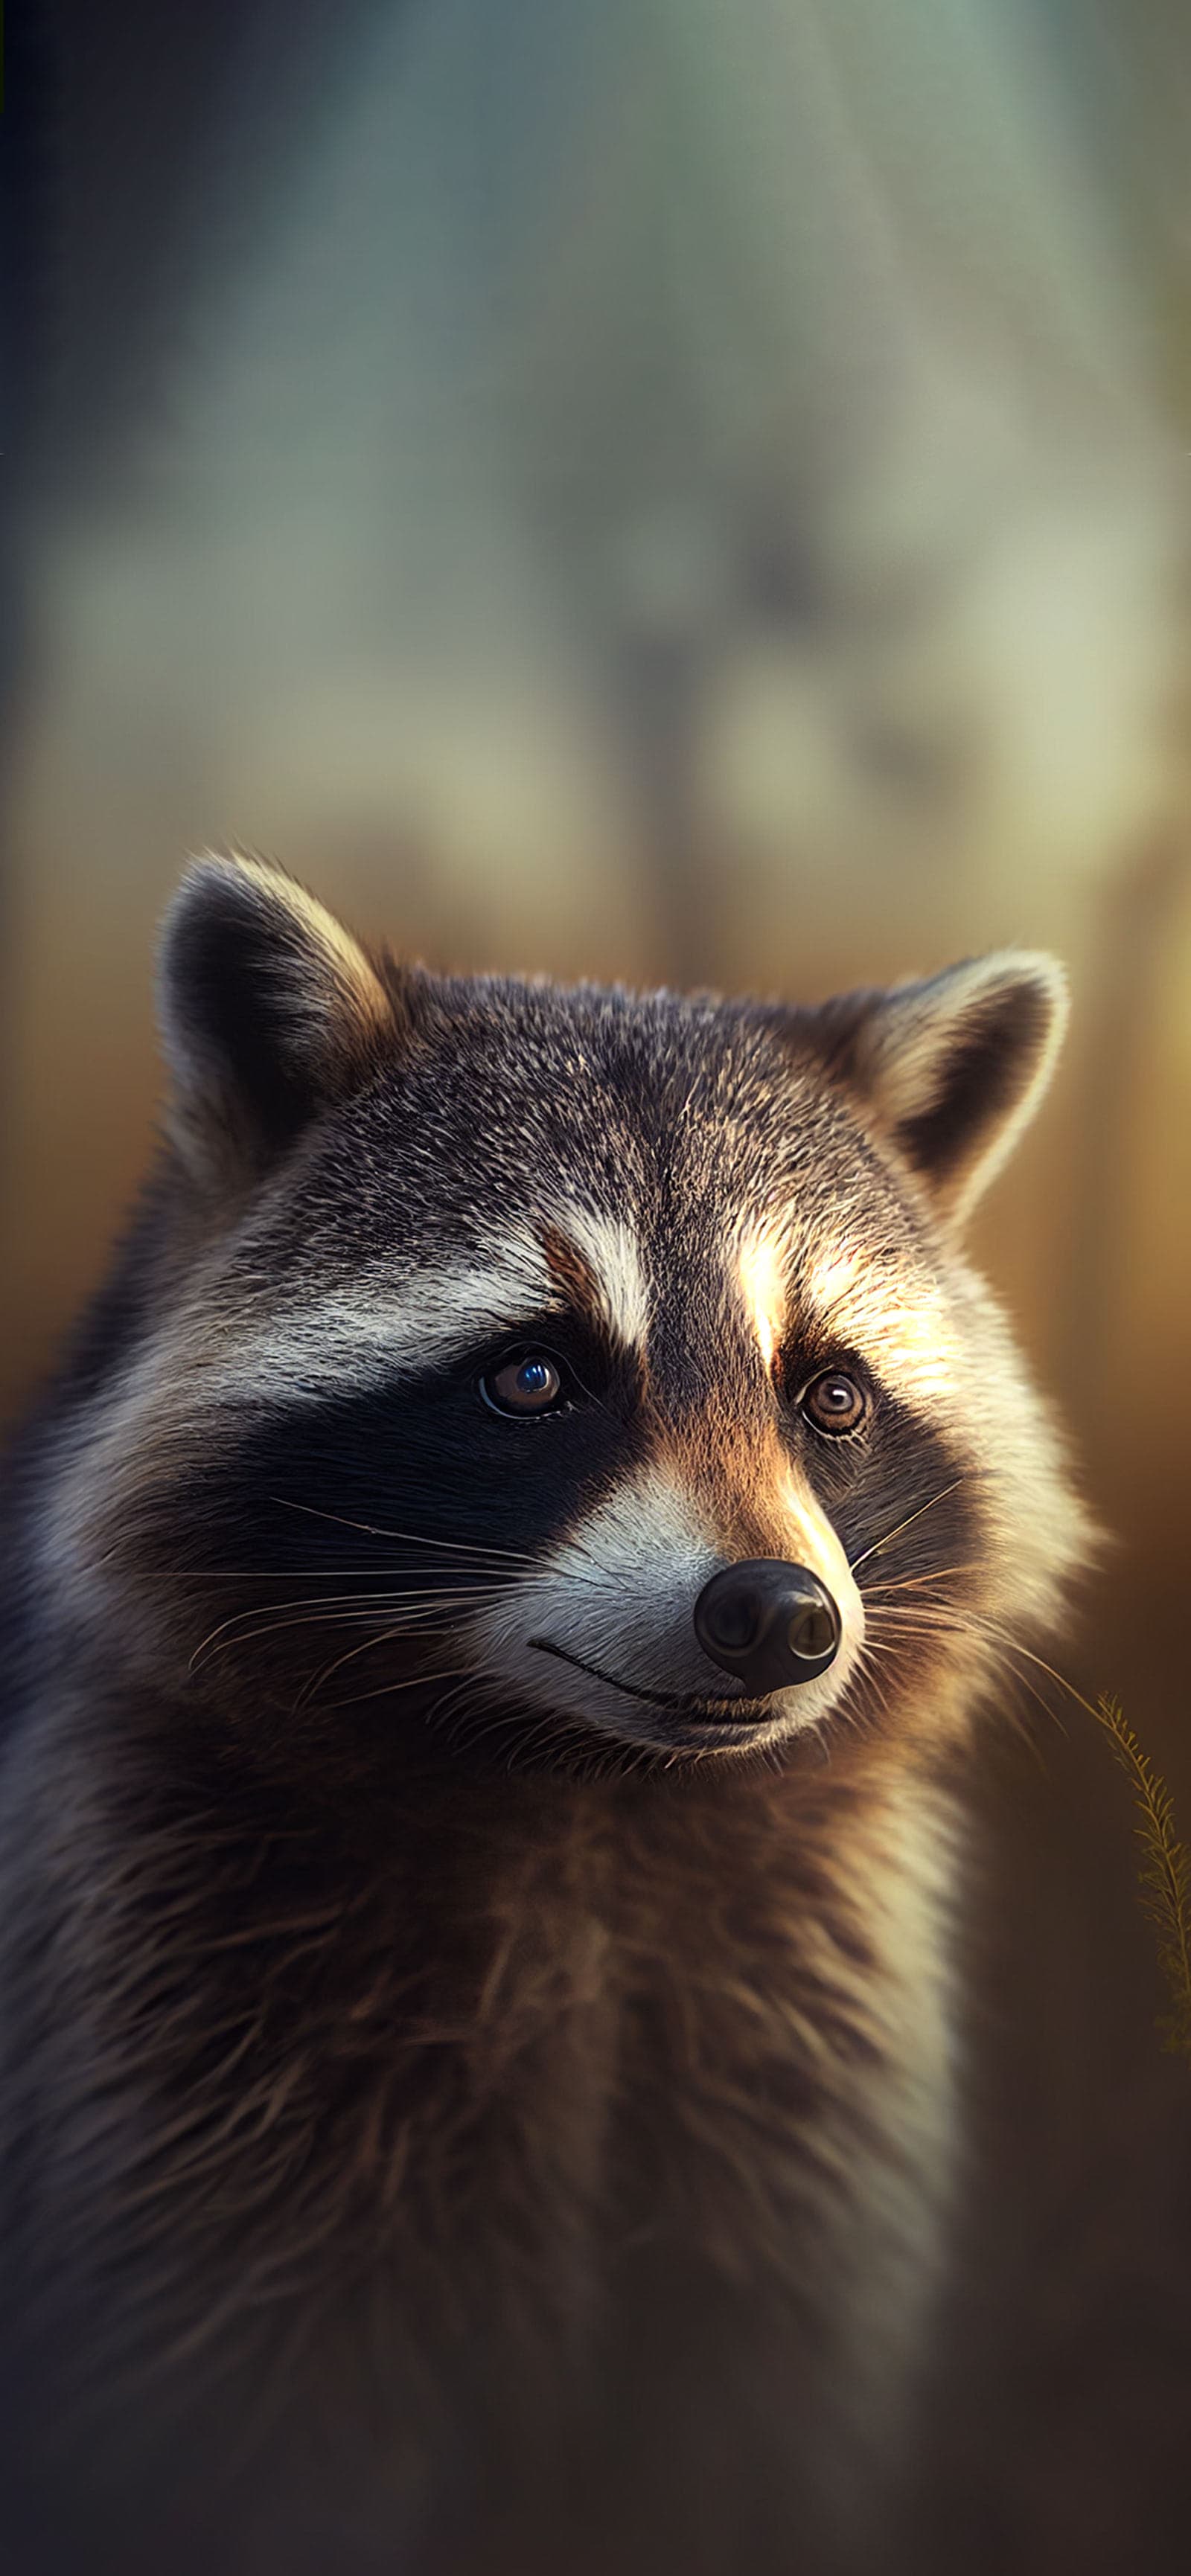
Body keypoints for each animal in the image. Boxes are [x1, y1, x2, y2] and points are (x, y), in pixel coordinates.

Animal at [0, 857, 1089, 2576]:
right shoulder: (165, 2023)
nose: (778, 1617)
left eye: (830, 1396)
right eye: (534, 1376)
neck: (583, 1791)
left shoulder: (804, 2055)